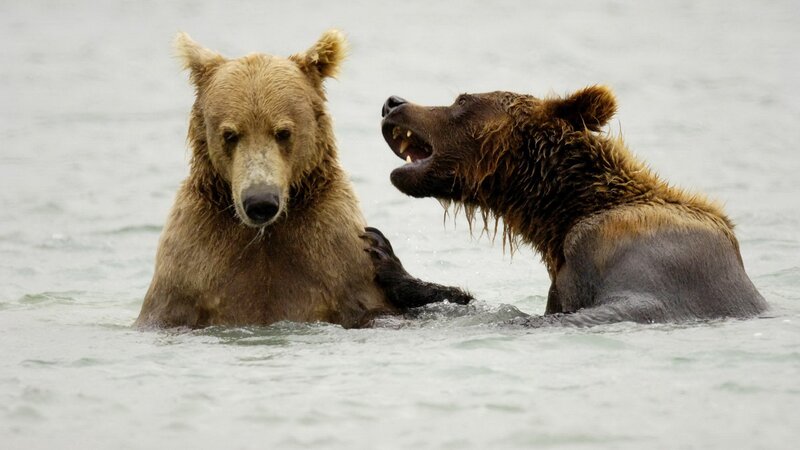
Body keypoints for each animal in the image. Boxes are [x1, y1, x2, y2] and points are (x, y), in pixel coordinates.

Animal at [135, 30, 465, 329]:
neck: (265, 234)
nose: (261, 202)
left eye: (283, 132)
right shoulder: (192, 266)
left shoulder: (335, 255)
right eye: (230, 134)